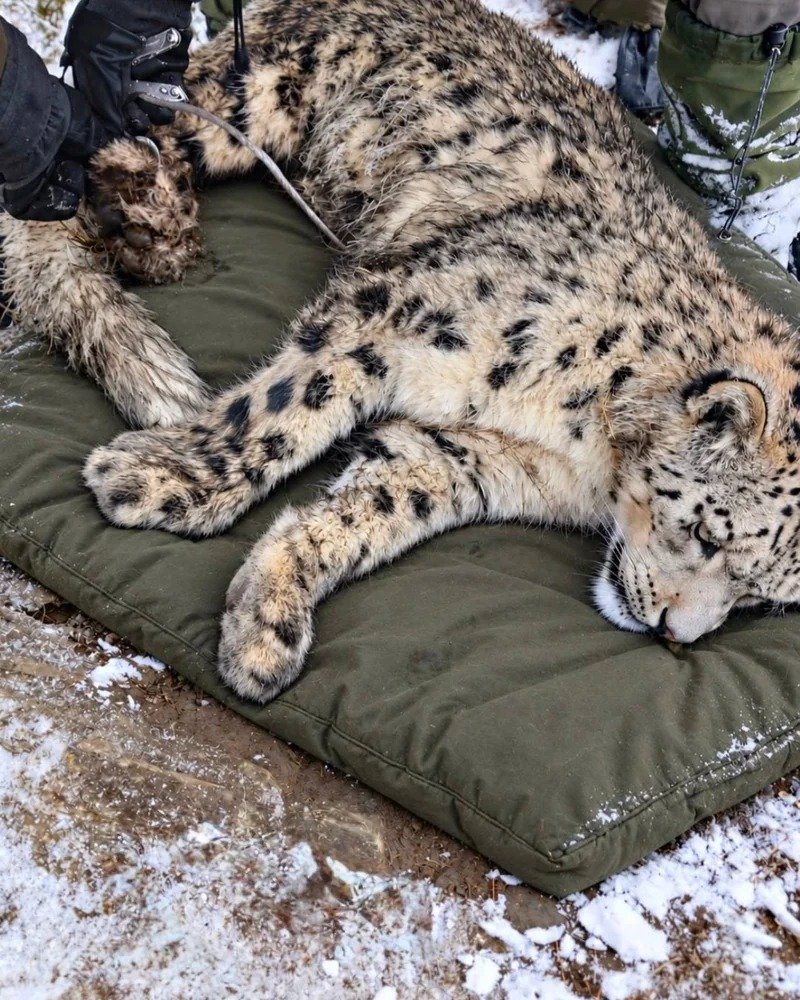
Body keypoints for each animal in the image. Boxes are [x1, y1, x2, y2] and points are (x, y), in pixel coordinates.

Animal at [4, 0, 800, 704]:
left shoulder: (470, 455)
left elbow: (372, 508)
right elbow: (284, 408)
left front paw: (268, 624)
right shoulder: (402, 309)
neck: (589, 450)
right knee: (81, 173)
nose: (672, 631)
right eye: (707, 535)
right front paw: (167, 478)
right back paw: (136, 191)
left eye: (758, 599)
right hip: (242, 98)